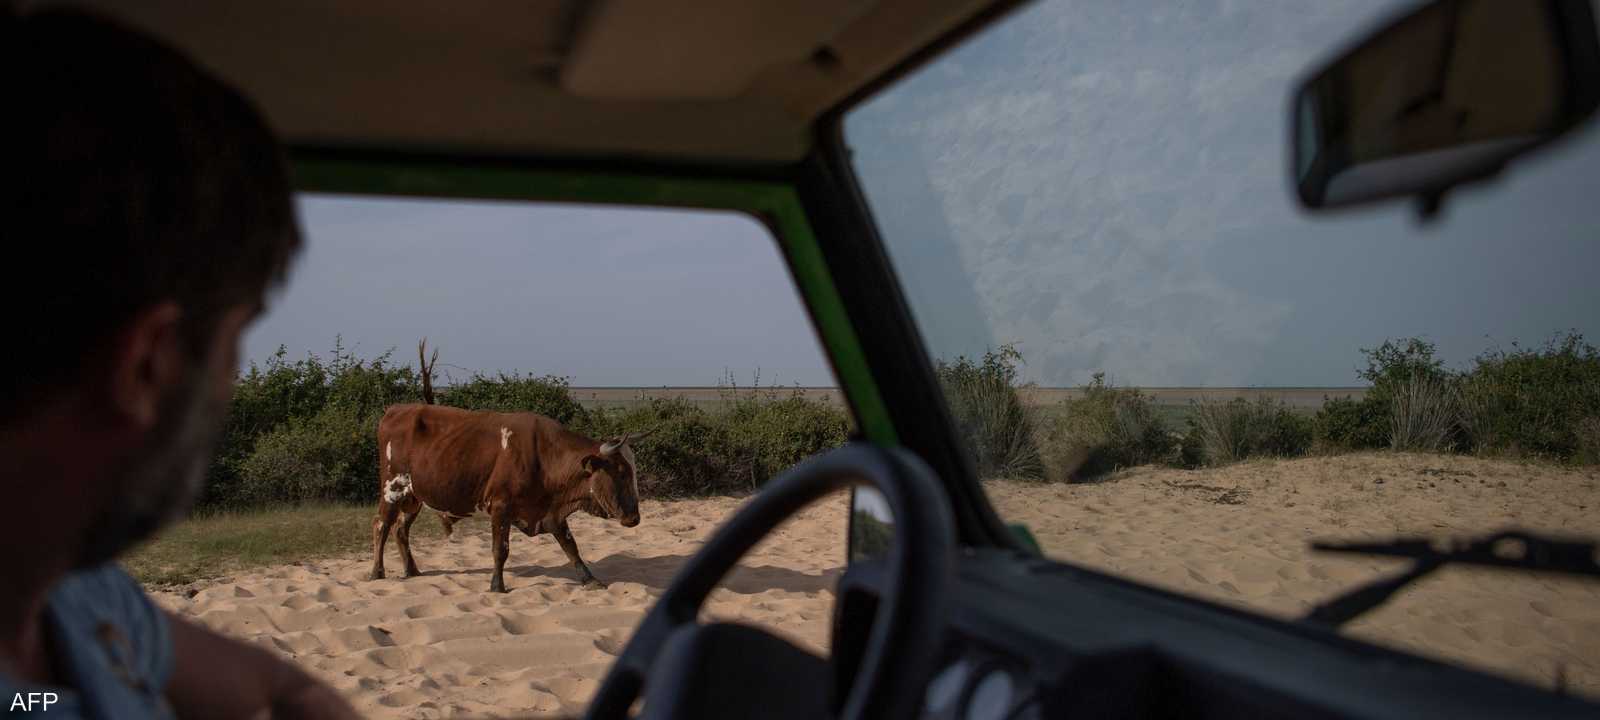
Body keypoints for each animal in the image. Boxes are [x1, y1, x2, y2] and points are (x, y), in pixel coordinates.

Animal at [368, 401, 649, 592]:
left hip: (413, 498)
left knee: (401, 530)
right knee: (382, 526)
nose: (634, 518)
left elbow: (571, 547)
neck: (543, 456)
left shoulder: (552, 512)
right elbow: (500, 550)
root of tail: (396, 410)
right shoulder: (500, 508)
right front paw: (497, 585)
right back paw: (377, 572)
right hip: (393, 489)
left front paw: (590, 579)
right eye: (621, 472)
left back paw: (412, 570)